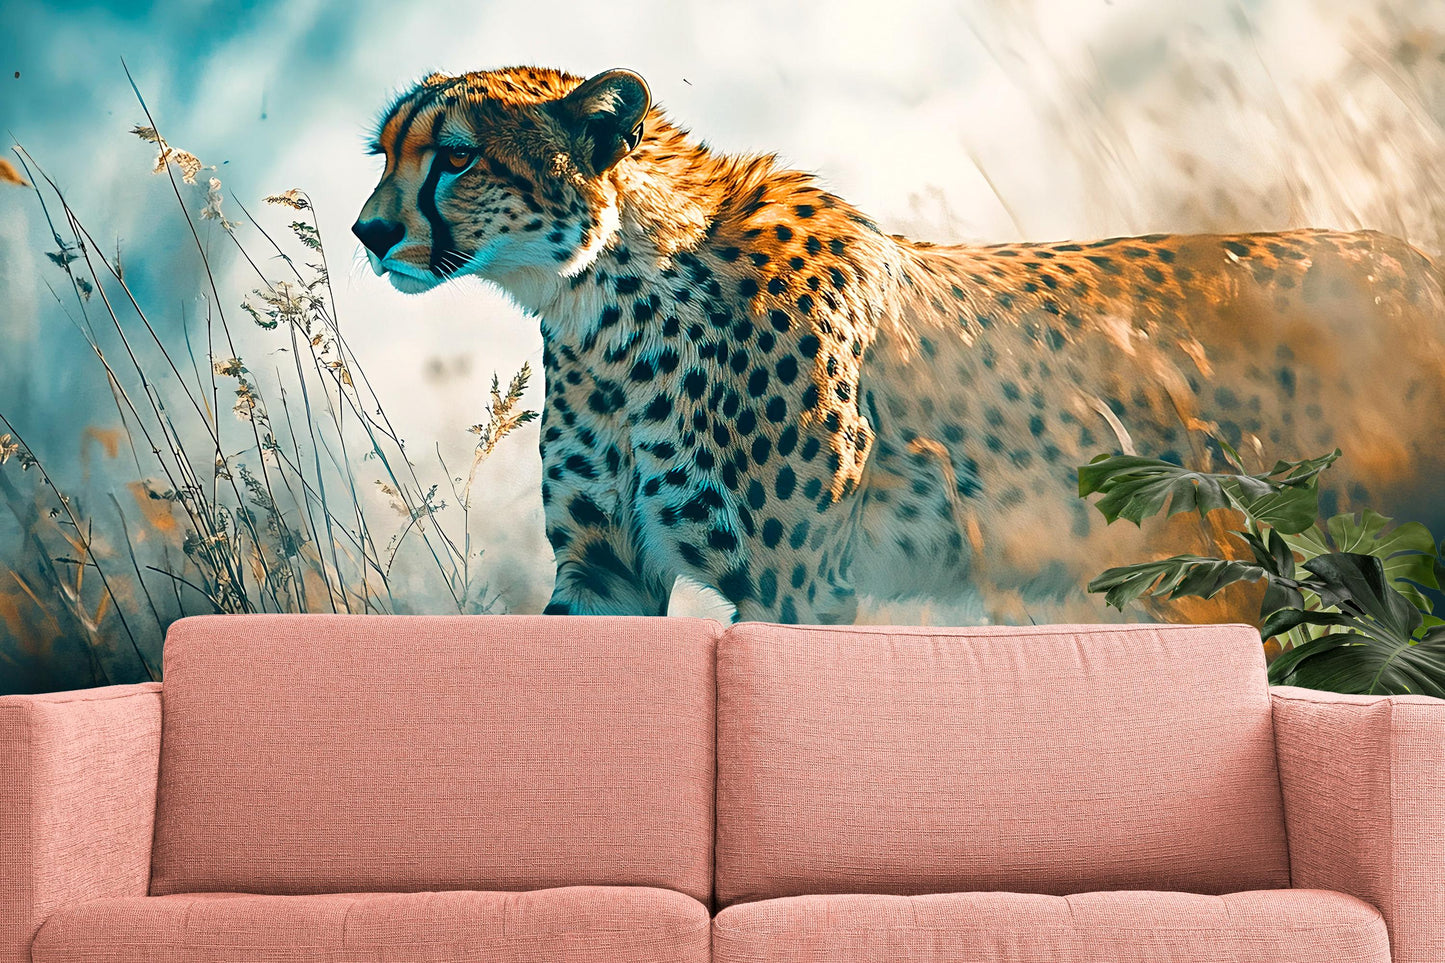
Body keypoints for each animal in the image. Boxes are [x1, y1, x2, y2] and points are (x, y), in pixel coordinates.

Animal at [354, 65, 1445, 624]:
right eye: (387, 153)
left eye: (455, 158)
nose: (366, 231)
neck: (607, 303)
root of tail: (1403, 255)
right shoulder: (604, 576)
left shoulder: (796, 589)